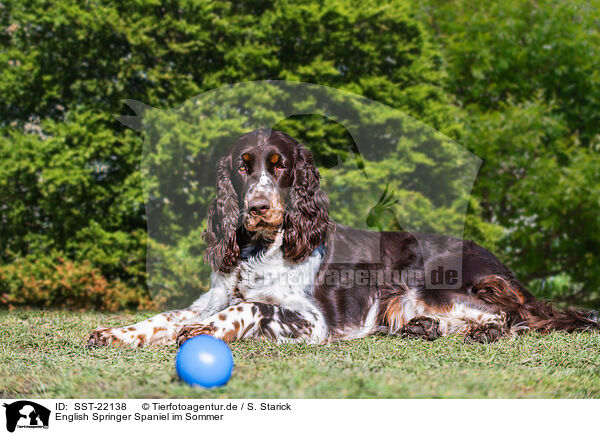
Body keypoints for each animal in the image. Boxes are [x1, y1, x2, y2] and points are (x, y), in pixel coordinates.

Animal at [86, 129, 596, 348]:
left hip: (430, 281)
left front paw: (208, 331)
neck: (259, 249)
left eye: (280, 165)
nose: (258, 208)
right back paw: (422, 328)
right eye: (242, 166)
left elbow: (250, 306)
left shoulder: (313, 322)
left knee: (511, 317)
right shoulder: (210, 296)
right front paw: (118, 332)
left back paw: (479, 330)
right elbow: (166, 315)